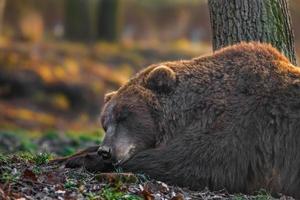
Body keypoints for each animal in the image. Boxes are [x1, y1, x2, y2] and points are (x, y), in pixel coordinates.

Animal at [54, 42, 300, 198]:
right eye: (105, 123)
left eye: (125, 116)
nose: (106, 150)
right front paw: (65, 157)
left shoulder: (237, 128)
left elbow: (184, 162)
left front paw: (85, 160)